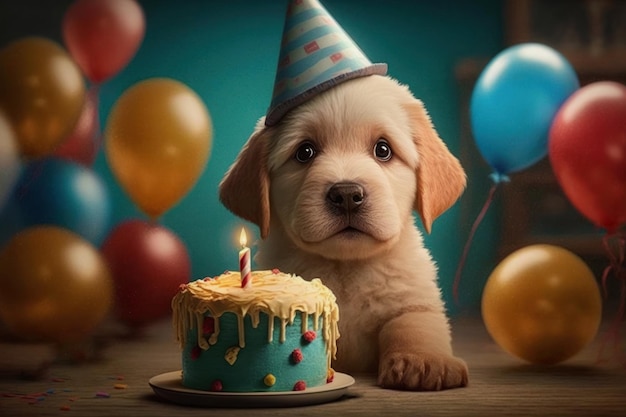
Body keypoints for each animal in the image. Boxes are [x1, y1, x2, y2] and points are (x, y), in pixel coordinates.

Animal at [219, 75, 468, 390]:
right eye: (305, 152)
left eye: (383, 150)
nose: (347, 195)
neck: (345, 266)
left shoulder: (415, 298)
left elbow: (413, 325)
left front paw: (423, 361)